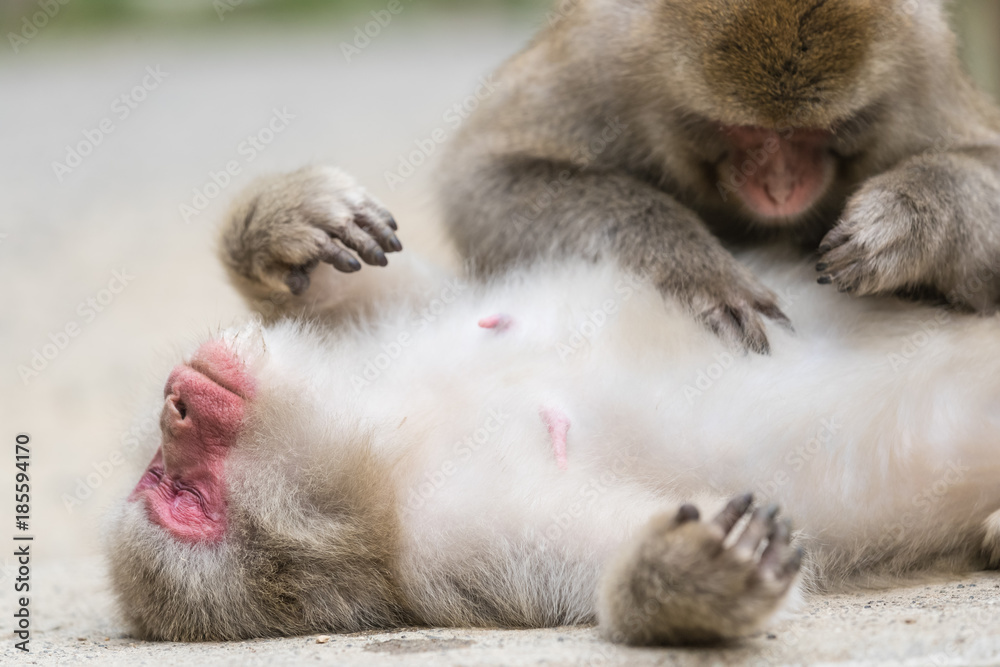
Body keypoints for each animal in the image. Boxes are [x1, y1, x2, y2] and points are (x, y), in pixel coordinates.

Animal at [109, 170, 1000, 648]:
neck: (394, 433)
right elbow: (603, 557)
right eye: (182, 497)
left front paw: (287, 224)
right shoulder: (456, 543)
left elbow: (405, 287)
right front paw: (684, 577)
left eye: (169, 477)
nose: (175, 402)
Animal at [442, 0, 1000, 354]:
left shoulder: (921, 65)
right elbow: (483, 183)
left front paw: (902, 223)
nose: (781, 190)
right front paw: (698, 271)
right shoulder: (598, 59)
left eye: (814, 132)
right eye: (745, 130)